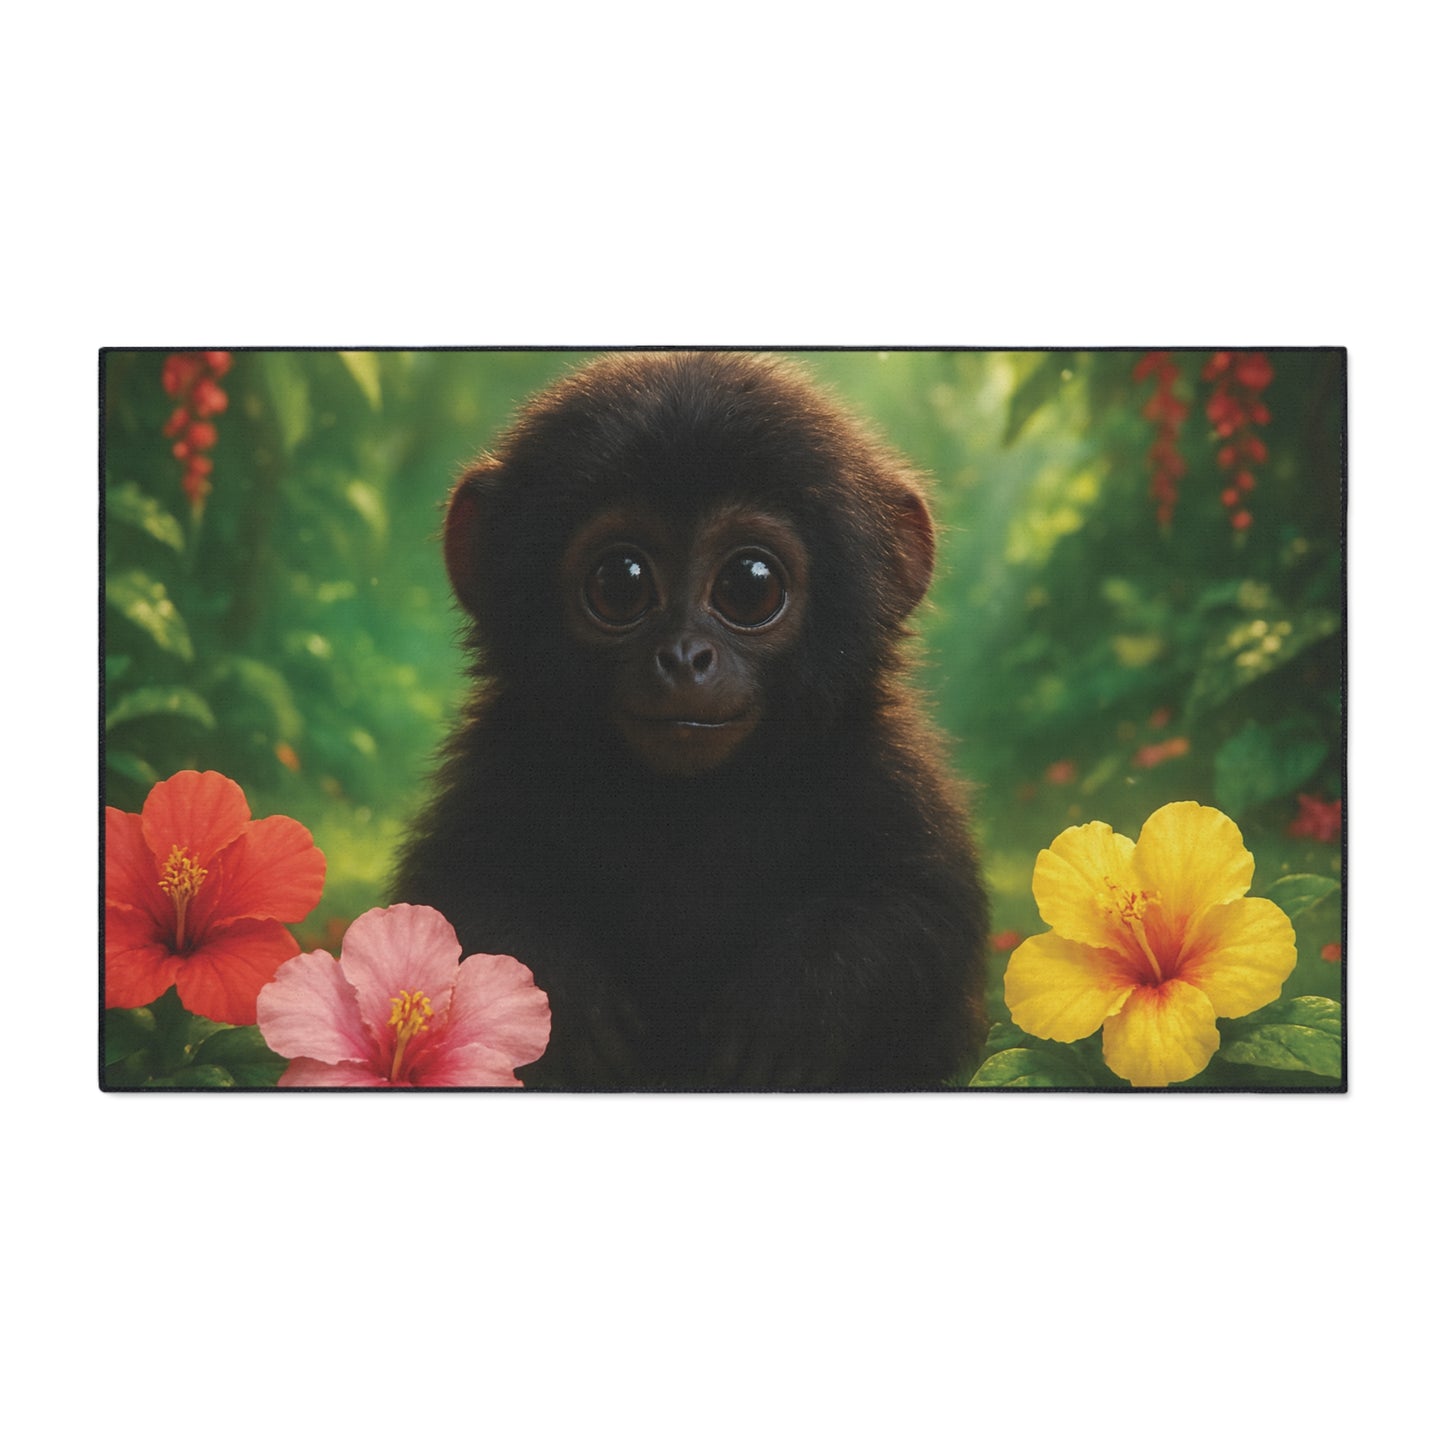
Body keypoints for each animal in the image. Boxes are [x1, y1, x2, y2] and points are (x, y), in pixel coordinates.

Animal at [392, 351, 988, 1089]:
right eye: (619, 581)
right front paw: (565, 996)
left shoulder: (885, 769)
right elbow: (460, 893)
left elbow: (920, 912)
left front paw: (795, 1000)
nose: (683, 656)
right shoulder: (499, 762)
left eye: (750, 584)